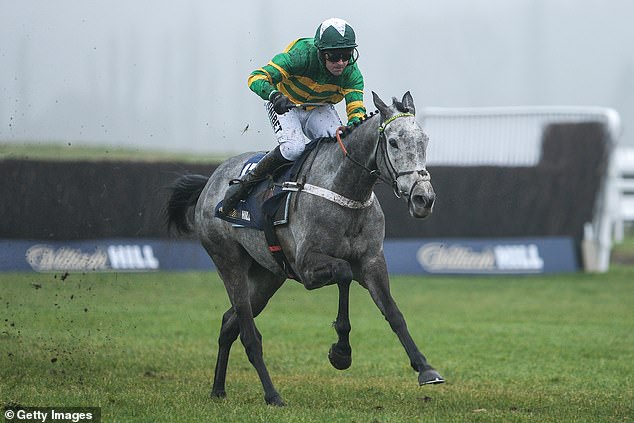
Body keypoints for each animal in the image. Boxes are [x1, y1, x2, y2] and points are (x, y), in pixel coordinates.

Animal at [168, 92, 444, 408]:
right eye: (394, 142)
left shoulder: (372, 261)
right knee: (249, 334)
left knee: (229, 323)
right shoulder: (307, 267)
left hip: (267, 277)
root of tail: (210, 184)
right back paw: (272, 394)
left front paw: (425, 369)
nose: (423, 198)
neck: (345, 193)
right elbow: (344, 273)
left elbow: (393, 312)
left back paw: (218, 389)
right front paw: (341, 352)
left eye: (424, 140)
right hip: (228, 262)